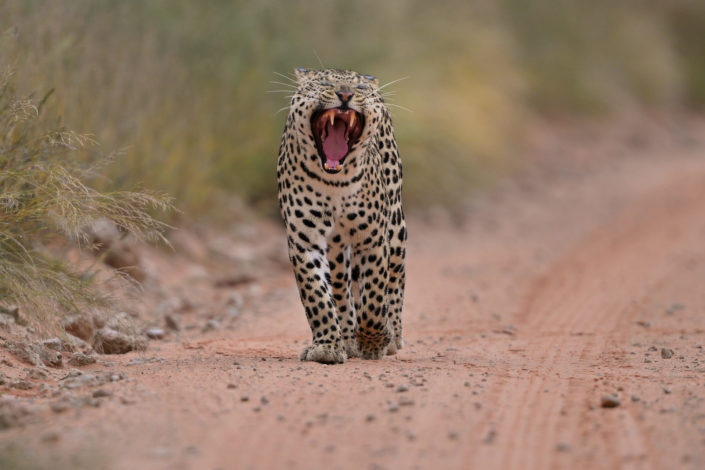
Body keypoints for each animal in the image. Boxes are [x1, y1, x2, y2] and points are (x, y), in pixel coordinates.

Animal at [276, 68, 406, 364]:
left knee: (395, 281)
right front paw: (327, 347)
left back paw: (393, 335)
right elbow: (318, 297)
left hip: (396, 229)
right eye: (324, 82)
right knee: (341, 290)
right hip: (337, 249)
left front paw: (374, 341)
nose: (345, 95)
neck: (334, 181)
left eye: (358, 88)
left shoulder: (372, 239)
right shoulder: (305, 241)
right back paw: (346, 338)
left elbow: (374, 297)